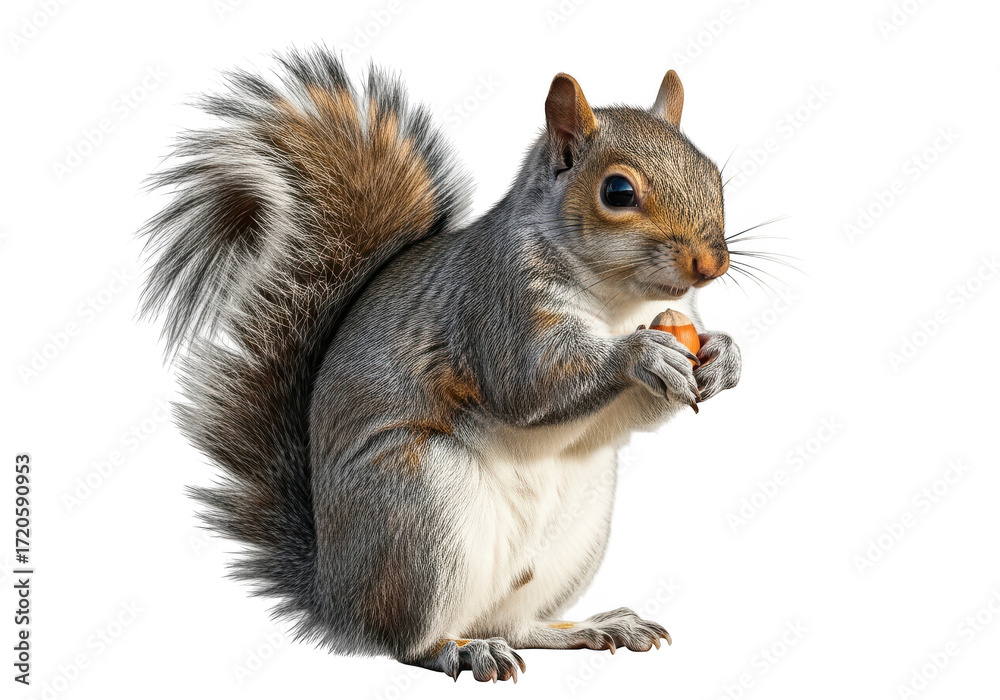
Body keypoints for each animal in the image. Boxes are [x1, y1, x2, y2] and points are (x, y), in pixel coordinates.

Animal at [140, 47, 741, 682]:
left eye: (712, 173)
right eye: (619, 192)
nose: (712, 264)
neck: (621, 302)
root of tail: (336, 597)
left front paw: (726, 357)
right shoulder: (499, 307)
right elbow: (532, 385)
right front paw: (640, 355)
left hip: (571, 536)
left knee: (516, 624)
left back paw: (593, 627)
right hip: (420, 513)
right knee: (408, 641)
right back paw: (461, 649)